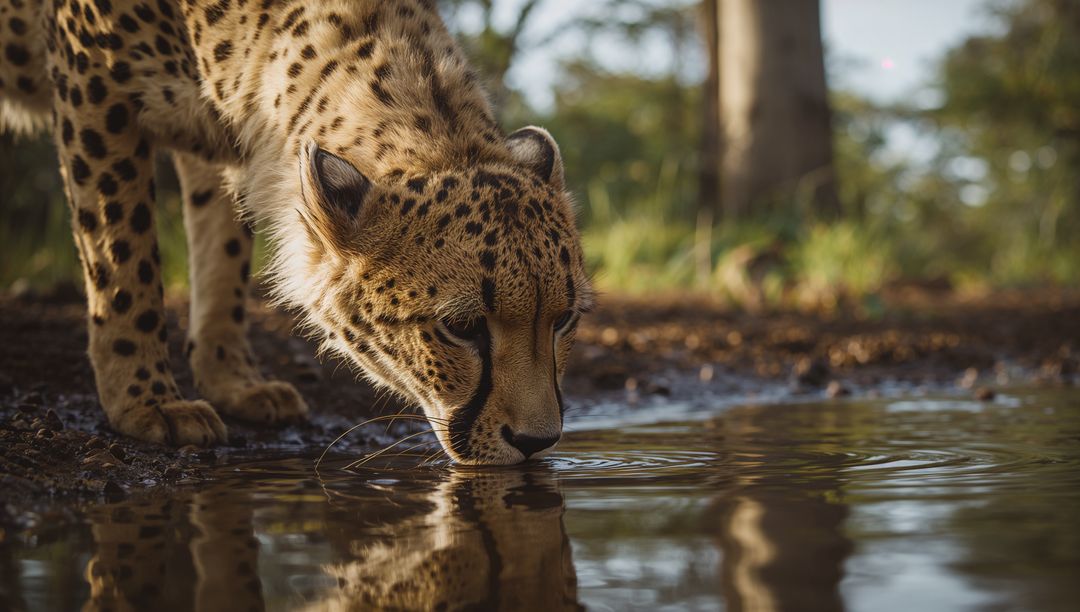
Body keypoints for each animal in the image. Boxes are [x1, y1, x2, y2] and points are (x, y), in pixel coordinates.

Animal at [0, 0, 593, 464]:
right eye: (463, 327)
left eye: (564, 319)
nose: (538, 443)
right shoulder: (93, 83)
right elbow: (123, 256)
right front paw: (147, 401)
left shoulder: (217, 141)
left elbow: (223, 255)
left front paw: (232, 383)